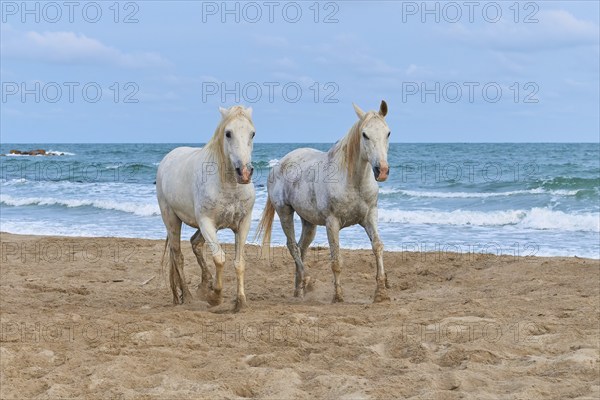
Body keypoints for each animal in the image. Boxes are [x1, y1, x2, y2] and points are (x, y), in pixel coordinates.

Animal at [156, 104, 254, 310]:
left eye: (252, 133)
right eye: (228, 133)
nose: (244, 173)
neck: (229, 186)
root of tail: (167, 158)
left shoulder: (243, 223)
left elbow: (239, 262)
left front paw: (240, 301)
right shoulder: (207, 223)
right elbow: (219, 258)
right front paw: (215, 297)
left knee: (195, 243)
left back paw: (203, 284)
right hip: (172, 220)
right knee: (178, 256)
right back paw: (187, 296)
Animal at [258, 101, 394, 304]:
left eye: (388, 133)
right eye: (365, 134)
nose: (382, 170)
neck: (352, 181)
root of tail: (278, 164)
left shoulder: (370, 216)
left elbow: (377, 246)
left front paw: (381, 293)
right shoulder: (332, 222)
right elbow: (336, 259)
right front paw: (338, 296)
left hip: (309, 223)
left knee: (301, 248)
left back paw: (299, 290)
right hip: (284, 213)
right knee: (292, 247)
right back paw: (307, 280)